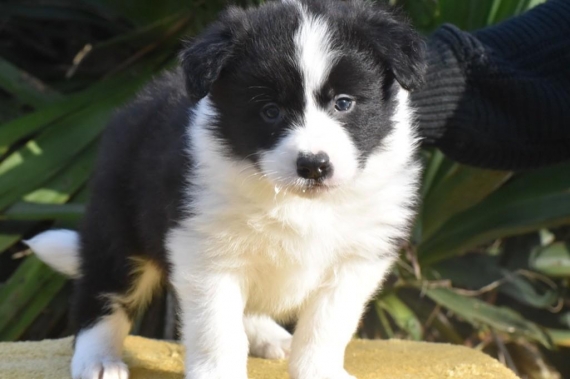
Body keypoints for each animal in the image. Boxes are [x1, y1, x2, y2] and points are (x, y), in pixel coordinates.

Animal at [28, 0, 424, 379]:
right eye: (270, 111)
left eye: (344, 103)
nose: (313, 165)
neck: (296, 201)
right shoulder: (206, 254)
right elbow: (216, 329)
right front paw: (218, 372)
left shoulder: (357, 258)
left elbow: (326, 327)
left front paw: (320, 372)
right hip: (119, 223)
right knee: (104, 291)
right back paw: (98, 360)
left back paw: (270, 336)